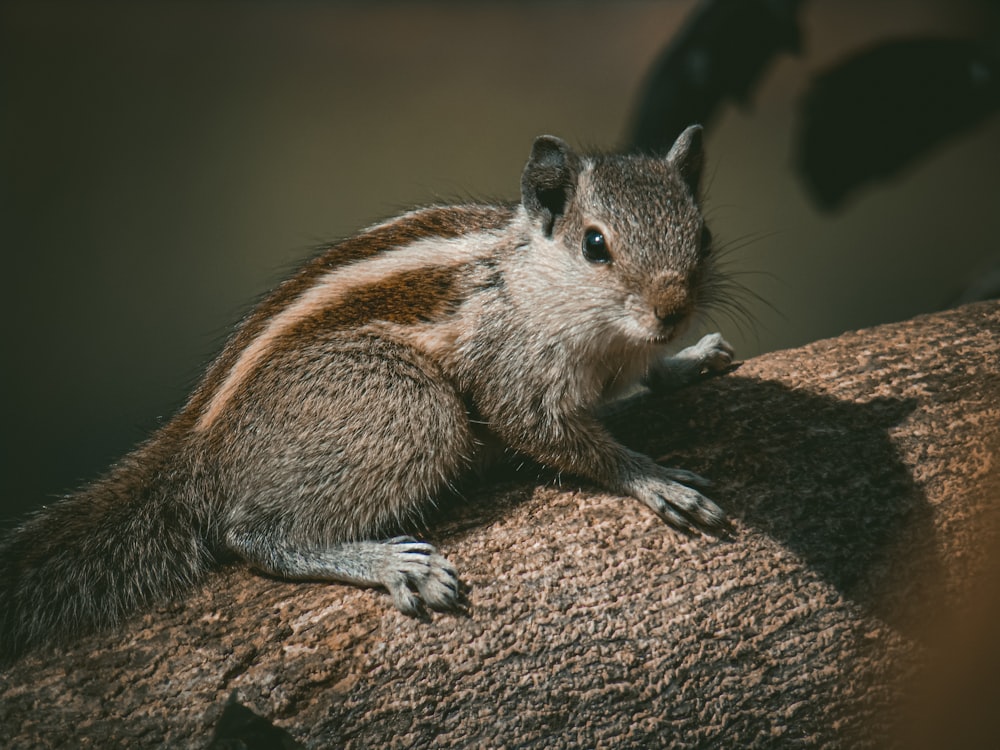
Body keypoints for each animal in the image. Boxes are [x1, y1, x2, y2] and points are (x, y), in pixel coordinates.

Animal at [0, 125, 736, 664]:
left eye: (703, 235)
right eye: (595, 245)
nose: (672, 311)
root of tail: (199, 443)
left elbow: (647, 376)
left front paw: (689, 360)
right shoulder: (515, 370)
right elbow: (550, 434)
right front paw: (650, 478)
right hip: (405, 409)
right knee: (252, 536)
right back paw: (385, 562)